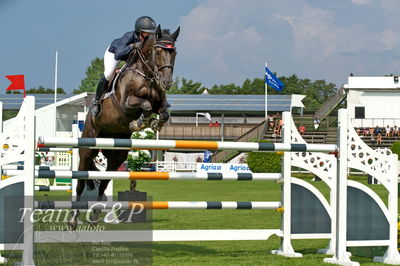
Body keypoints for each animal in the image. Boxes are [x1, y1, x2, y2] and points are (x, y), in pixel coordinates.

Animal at [69, 25, 180, 229]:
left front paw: (153, 122)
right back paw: (73, 219)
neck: (146, 75)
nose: (166, 82)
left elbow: (163, 113)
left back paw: (95, 214)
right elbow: (145, 105)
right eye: (158, 51)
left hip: (116, 157)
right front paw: (139, 122)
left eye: (174, 52)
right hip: (87, 150)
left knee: (104, 183)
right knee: (80, 182)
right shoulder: (126, 104)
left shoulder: (160, 103)